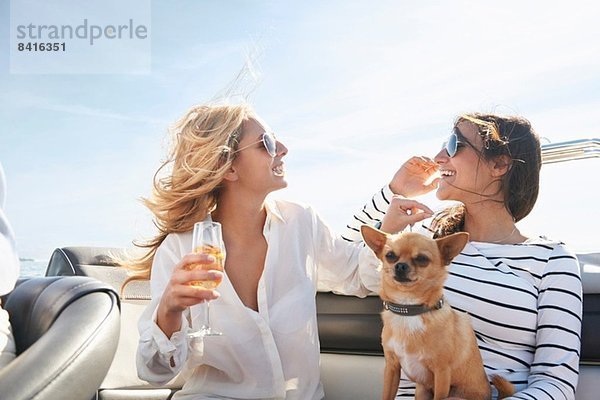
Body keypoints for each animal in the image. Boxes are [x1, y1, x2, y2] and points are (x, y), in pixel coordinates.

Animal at [358, 227, 512, 398]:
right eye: (390, 255)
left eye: (422, 259)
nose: (400, 266)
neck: (409, 309)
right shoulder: (392, 367)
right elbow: (386, 394)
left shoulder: (442, 373)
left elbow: (439, 395)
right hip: (421, 391)